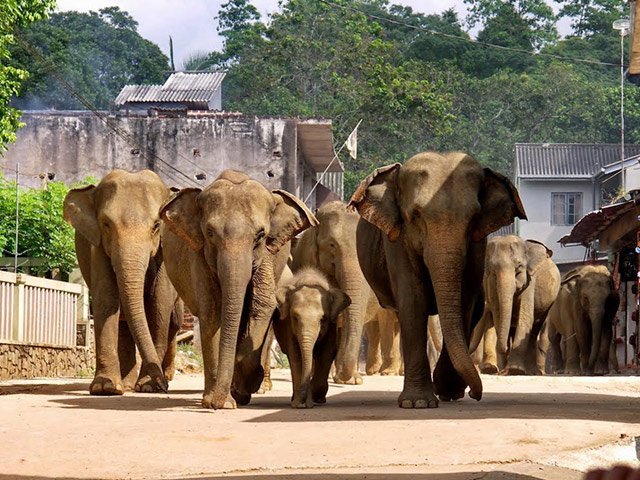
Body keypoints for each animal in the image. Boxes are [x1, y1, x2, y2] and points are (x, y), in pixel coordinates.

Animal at [63, 170, 182, 395]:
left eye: (156, 226)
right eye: (106, 224)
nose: (162, 385)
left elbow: (159, 303)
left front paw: (150, 387)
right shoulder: (98, 246)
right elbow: (106, 298)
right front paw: (105, 388)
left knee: (174, 321)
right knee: (124, 322)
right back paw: (127, 385)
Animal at [160, 170, 317, 409]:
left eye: (260, 235)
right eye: (210, 233)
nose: (217, 403)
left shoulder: (266, 257)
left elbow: (262, 306)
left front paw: (242, 389)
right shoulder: (199, 255)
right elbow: (212, 311)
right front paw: (221, 401)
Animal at [274, 267, 351, 408]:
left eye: (323, 319)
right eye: (295, 318)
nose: (304, 403)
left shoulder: (331, 325)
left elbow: (327, 352)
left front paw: (315, 399)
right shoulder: (288, 326)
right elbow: (295, 355)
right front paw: (298, 404)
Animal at [349, 152, 526, 408]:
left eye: (474, 217)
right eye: (415, 215)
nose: (476, 394)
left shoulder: (478, 244)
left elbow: (464, 299)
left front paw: (448, 391)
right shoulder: (397, 240)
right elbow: (413, 299)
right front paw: (417, 403)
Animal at [469, 236, 560, 375]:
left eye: (519, 268)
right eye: (493, 271)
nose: (506, 347)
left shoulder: (530, 280)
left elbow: (525, 317)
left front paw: (514, 370)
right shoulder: (491, 284)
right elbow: (498, 317)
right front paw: (505, 369)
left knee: (535, 328)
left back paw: (531, 372)